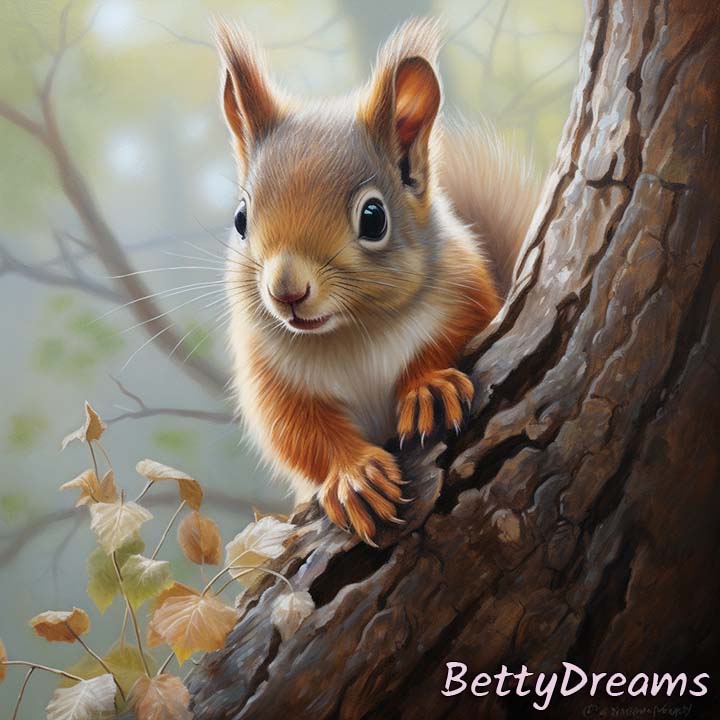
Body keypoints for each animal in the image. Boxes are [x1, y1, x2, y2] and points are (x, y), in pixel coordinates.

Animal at [216, 18, 538, 545]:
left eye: (373, 218)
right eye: (241, 219)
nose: (287, 292)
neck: (351, 332)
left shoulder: (465, 294)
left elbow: (459, 335)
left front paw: (428, 389)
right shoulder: (269, 371)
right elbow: (297, 431)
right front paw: (355, 478)